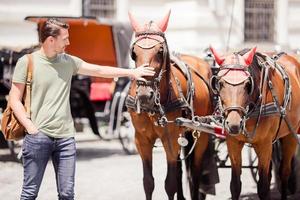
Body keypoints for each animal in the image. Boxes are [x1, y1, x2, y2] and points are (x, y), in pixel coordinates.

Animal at [126, 11, 213, 200]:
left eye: (160, 51)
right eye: (134, 53)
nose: (144, 95)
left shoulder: (170, 139)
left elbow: (170, 184)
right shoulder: (141, 140)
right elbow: (148, 182)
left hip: (201, 134)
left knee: (195, 172)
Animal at [210, 46, 300, 198]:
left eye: (248, 84)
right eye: (220, 83)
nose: (234, 124)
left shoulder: (264, 144)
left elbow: (263, 187)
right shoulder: (233, 142)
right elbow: (235, 185)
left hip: (291, 134)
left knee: (284, 172)